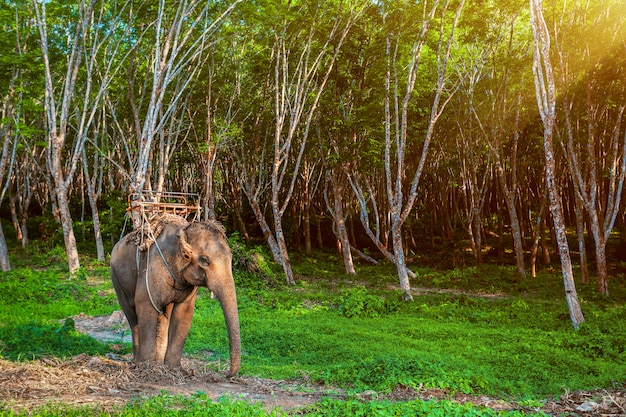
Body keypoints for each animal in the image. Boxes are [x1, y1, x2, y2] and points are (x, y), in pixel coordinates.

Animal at [109, 213, 239, 376]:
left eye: (231, 257)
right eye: (204, 260)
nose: (226, 374)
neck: (184, 230)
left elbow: (184, 313)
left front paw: (173, 368)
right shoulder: (152, 269)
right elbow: (145, 305)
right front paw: (146, 367)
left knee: (164, 316)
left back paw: (158, 362)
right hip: (117, 279)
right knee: (131, 314)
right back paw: (137, 361)